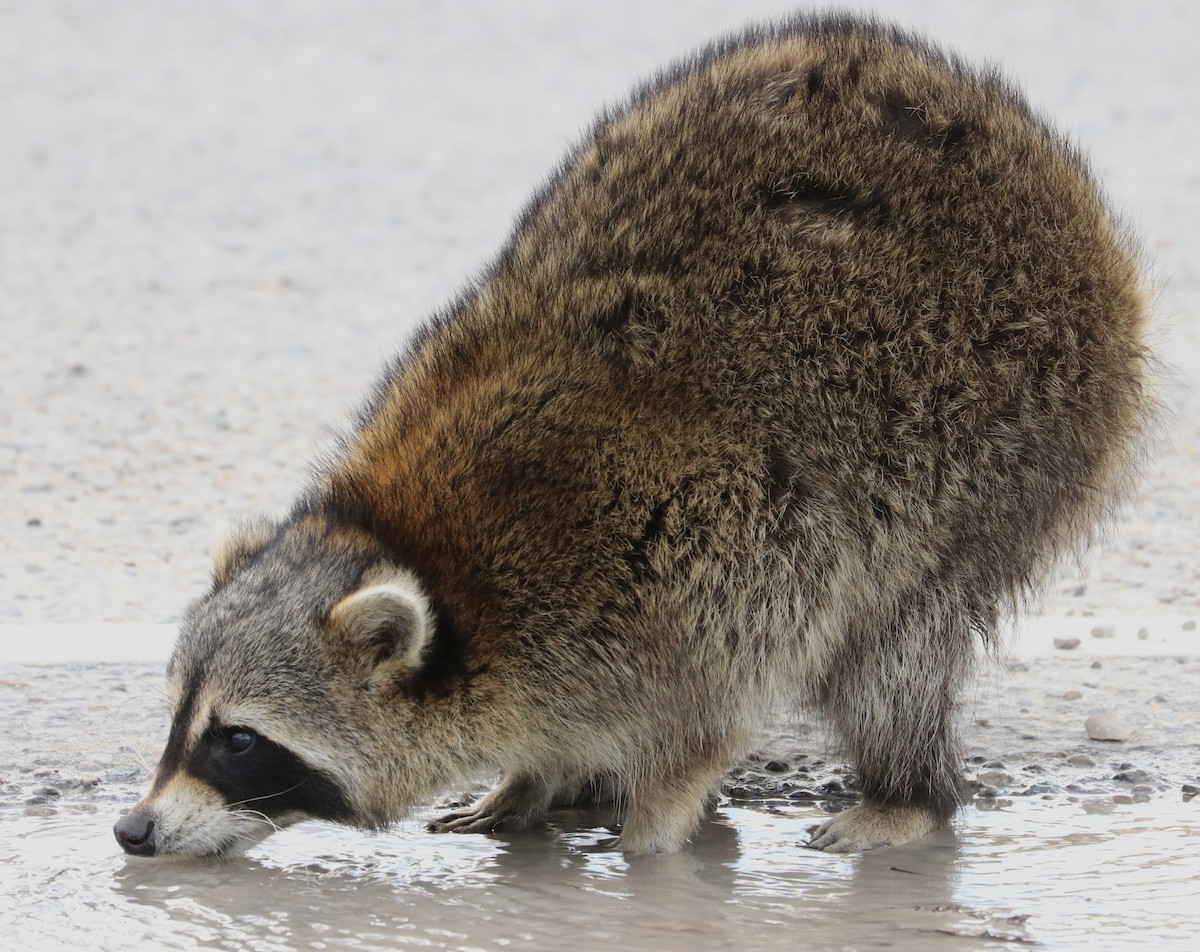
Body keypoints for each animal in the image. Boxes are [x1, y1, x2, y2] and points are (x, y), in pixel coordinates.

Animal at [115, 13, 1152, 859]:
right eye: (177, 719)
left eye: (239, 739)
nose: (133, 830)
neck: (431, 562)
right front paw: (534, 778)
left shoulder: (707, 556)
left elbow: (710, 717)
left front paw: (654, 842)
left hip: (1004, 415)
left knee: (893, 645)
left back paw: (908, 794)